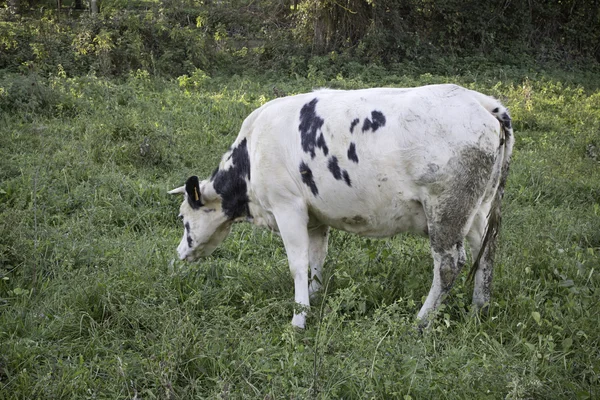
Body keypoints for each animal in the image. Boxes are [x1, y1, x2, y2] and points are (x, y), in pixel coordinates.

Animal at [170, 84, 516, 328]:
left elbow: (298, 264)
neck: (250, 158)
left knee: (449, 264)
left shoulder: (287, 207)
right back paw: (479, 310)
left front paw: (298, 318)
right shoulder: (315, 217)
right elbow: (317, 259)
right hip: (478, 208)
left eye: (182, 217)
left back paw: (421, 322)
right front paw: (314, 297)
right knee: (485, 252)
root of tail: (481, 102)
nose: (179, 253)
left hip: (446, 209)